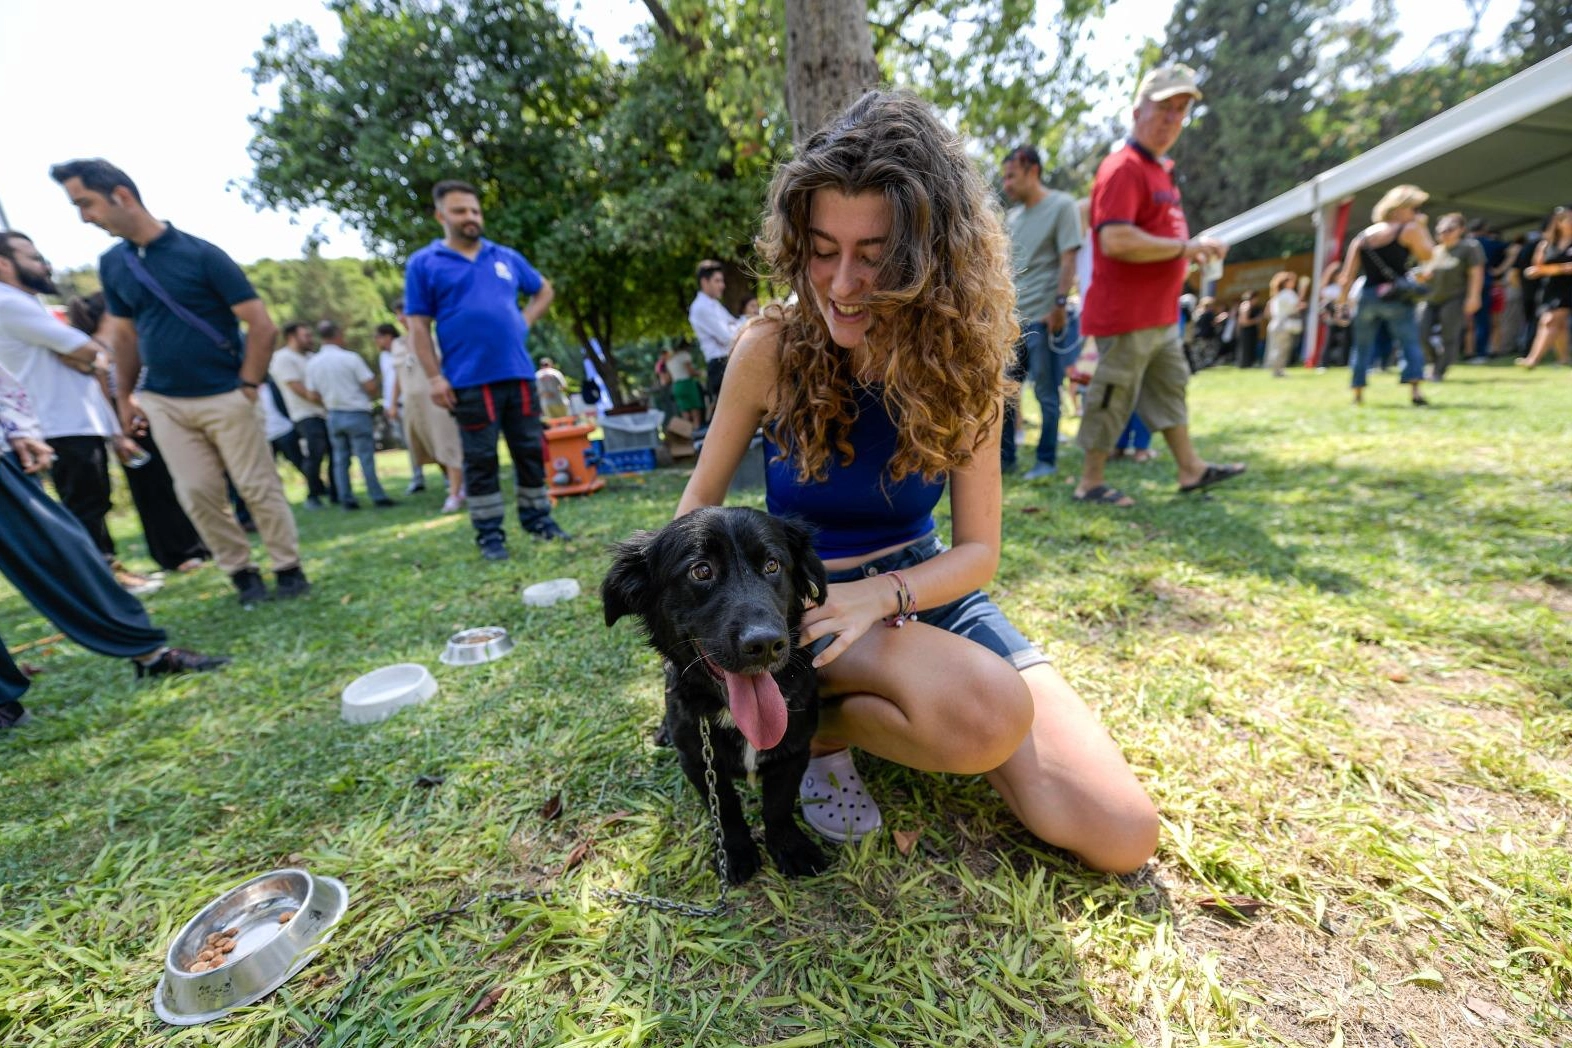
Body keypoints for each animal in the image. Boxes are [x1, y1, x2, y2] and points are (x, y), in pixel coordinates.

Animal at [603, 502, 836, 879]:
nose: (765, 644)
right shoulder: (698, 759)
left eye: (772, 565)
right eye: (701, 571)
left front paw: (790, 847)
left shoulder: (795, 750)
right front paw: (736, 852)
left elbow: (779, 805)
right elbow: (725, 808)